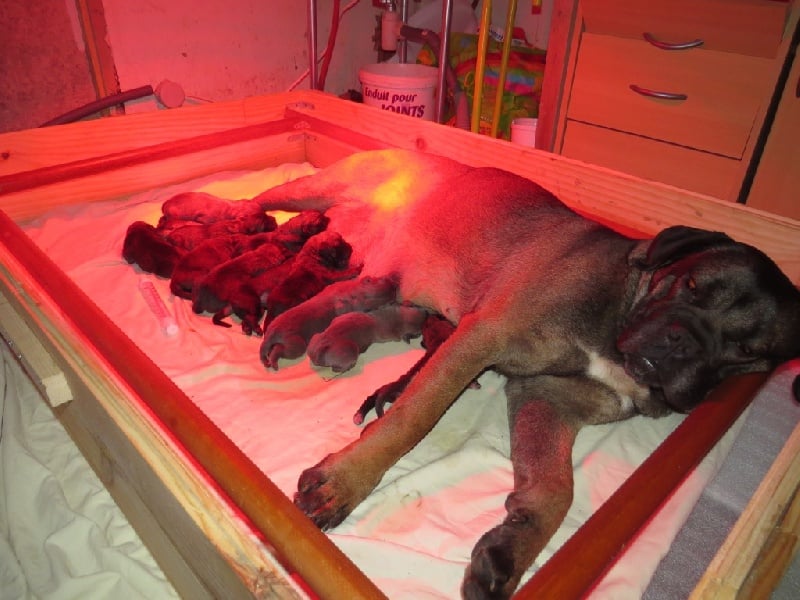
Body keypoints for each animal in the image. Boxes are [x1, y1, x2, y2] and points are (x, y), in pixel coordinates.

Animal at [250, 149, 800, 596]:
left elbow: (556, 487)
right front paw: (346, 482)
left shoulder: (545, 398)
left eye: (743, 349)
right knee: (257, 197)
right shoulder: (479, 340)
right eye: (690, 285)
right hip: (309, 188)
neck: (624, 305)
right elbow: (413, 418)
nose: (681, 342)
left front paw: (512, 547)